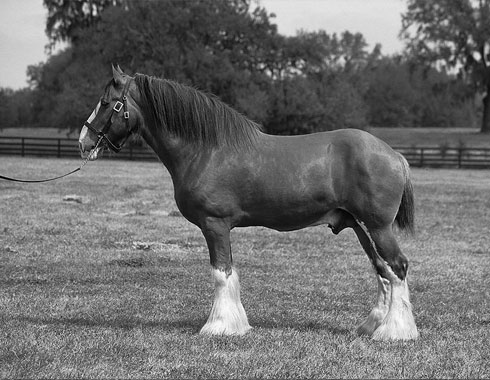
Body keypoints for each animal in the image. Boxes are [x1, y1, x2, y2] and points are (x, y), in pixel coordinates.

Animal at [78, 66, 420, 342]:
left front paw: (219, 326)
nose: (84, 141)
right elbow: (228, 273)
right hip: (360, 226)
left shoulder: (215, 224)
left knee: (398, 267)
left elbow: (221, 273)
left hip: (378, 227)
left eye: (107, 103)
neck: (206, 150)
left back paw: (395, 332)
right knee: (382, 270)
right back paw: (373, 326)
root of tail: (395, 155)